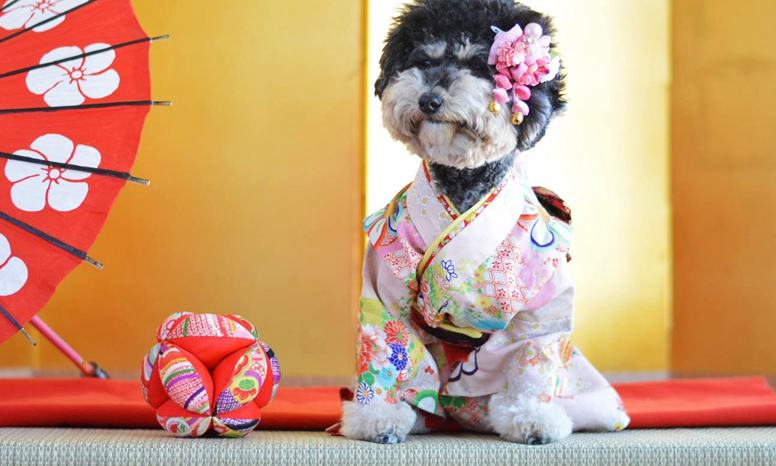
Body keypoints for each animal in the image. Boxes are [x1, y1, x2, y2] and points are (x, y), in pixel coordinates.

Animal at [342, 0, 632, 444]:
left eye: (477, 65)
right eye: (424, 60)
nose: (429, 100)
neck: (464, 186)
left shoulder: (542, 304)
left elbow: (532, 353)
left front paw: (531, 418)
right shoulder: (384, 278)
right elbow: (388, 341)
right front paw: (378, 417)